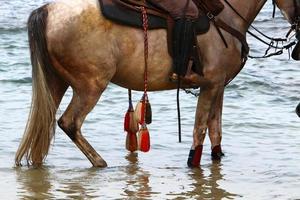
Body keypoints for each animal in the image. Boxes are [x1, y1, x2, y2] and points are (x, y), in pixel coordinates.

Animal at [15, 0, 298, 167]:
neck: (223, 15)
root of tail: (47, 10)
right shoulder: (210, 86)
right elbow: (200, 131)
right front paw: (193, 163)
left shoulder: (219, 87)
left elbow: (215, 131)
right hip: (90, 85)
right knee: (69, 122)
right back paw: (100, 162)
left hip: (56, 82)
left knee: (43, 124)